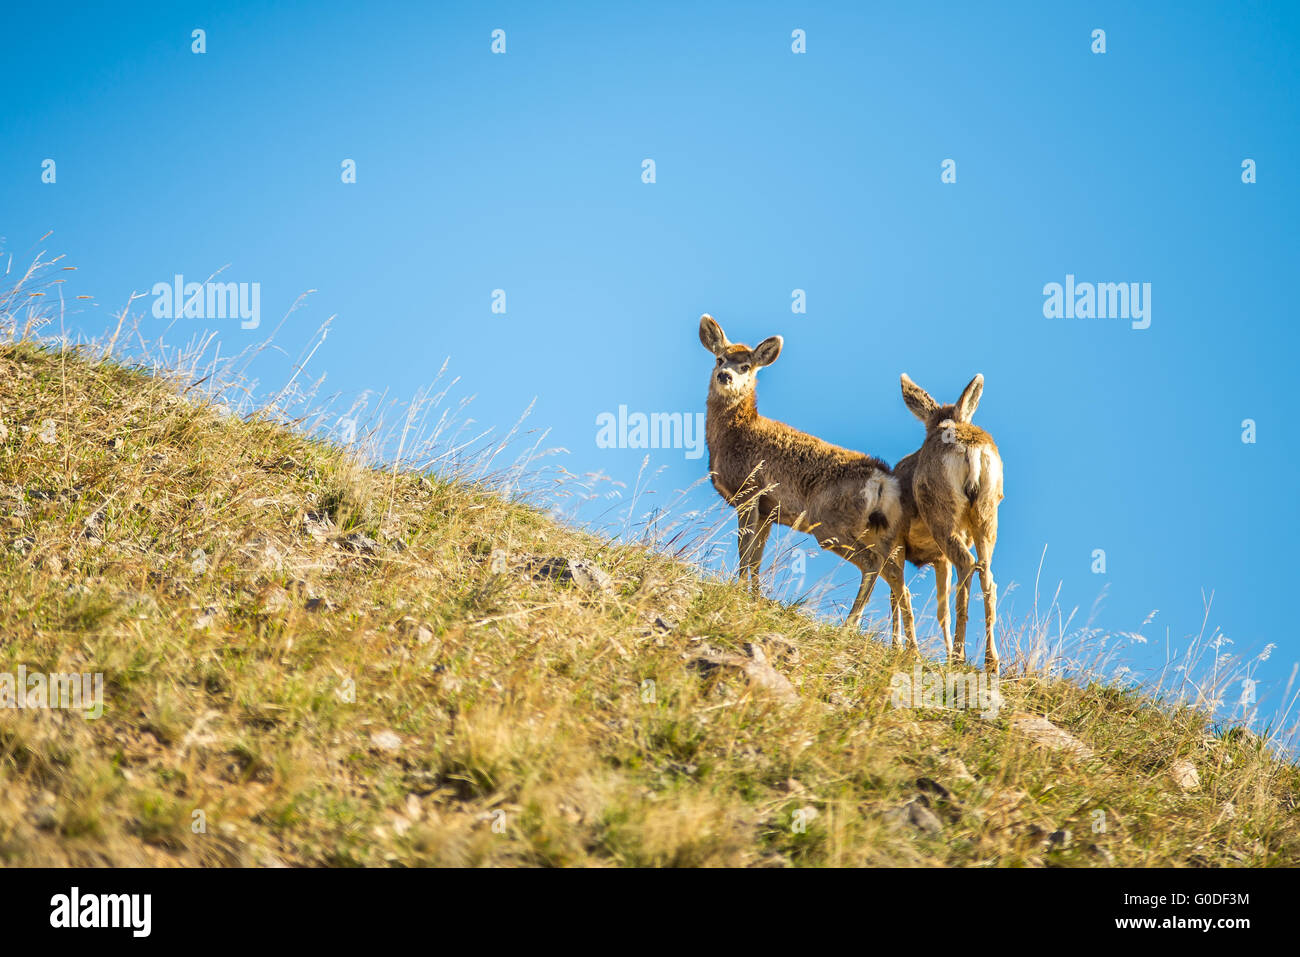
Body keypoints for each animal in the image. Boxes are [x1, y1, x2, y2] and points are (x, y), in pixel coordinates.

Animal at [698, 314, 916, 638]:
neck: (733, 434)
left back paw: (850, 625)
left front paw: (738, 591)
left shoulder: (750, 492)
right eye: (720, 358)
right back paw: (901, 644)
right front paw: (755, 597)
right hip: (881, 532)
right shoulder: (768, 511)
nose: (725, 376)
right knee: (898, 580)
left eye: (746, 366)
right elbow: (756, 558)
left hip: (829, 523)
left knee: (872, 564)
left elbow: (744, 552)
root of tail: (883, 481)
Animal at [891, 373, 1004, 673]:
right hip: (986, 514)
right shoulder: (940, 556)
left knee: (967, 564)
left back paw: (958, 656)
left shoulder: (895, 542)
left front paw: (898, 647)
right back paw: (991, 661)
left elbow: (897, 593)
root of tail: (971, 449)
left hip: (941, 515)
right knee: (986, 575)